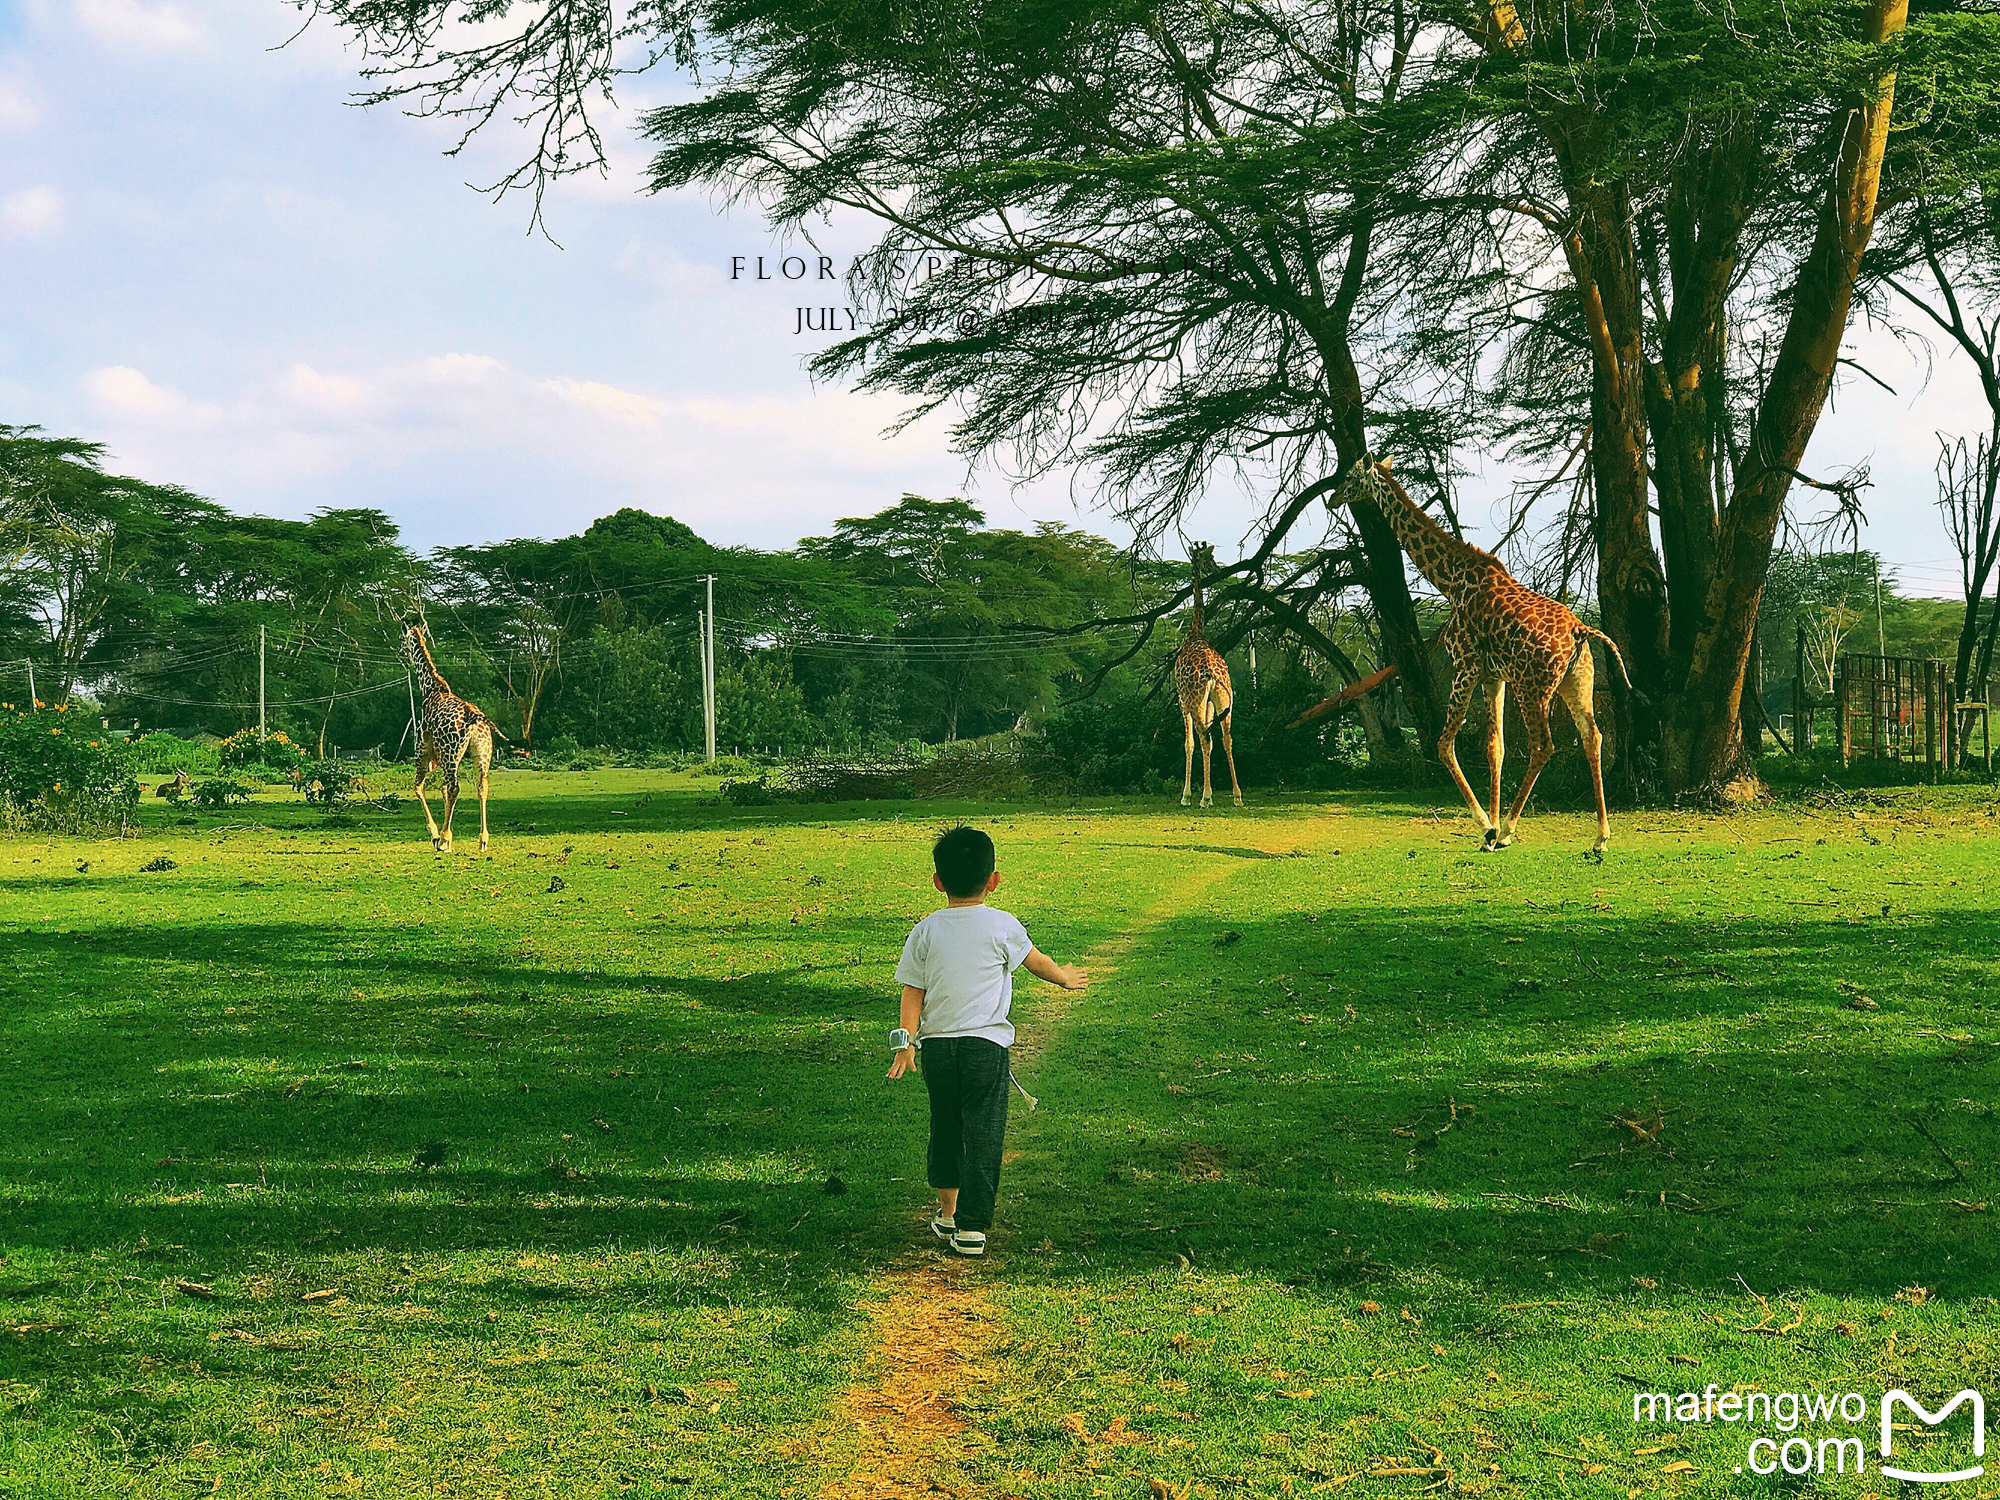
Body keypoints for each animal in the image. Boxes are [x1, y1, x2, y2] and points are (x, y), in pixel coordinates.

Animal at [400, 624, 504, 856]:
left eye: (402, 639)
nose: (401, 653)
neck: (429, 689)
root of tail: (474, 717)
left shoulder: (424, 751)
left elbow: (419, 787)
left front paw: (437, 836)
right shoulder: (441, 757)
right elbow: (443, 791)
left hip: (449, 754)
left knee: (453, 787)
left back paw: (444, 838)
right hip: (481, 754)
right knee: (482, 786)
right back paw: (482, 840)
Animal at [1168, 544, 1240, 812]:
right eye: (1208, 558)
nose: (1217, 570)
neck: (1195, 632)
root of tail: (1212, 675)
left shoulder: (1183, 702)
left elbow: (1188, 744)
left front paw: (1186, 795)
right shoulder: (1210, 704)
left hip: (1197, 702)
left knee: (1204, 739)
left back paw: (1204, 797)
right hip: (1225, 701)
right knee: (1226, 738)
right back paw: (1237, 795)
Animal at [1328, 458, 1624, 856]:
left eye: (1348, 477)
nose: (1332, 499)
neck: (1450, 580)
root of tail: (1581, 631)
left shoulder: (1464, 665)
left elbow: (1444, 744)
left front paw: (1488, 828)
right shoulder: (1492, 675)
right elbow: (1494, 748)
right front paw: (1490, 830)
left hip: (1533, 687)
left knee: (1543, 746)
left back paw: (1510, 829)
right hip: (1577, 683)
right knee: (1593, 738)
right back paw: (1600, 836)